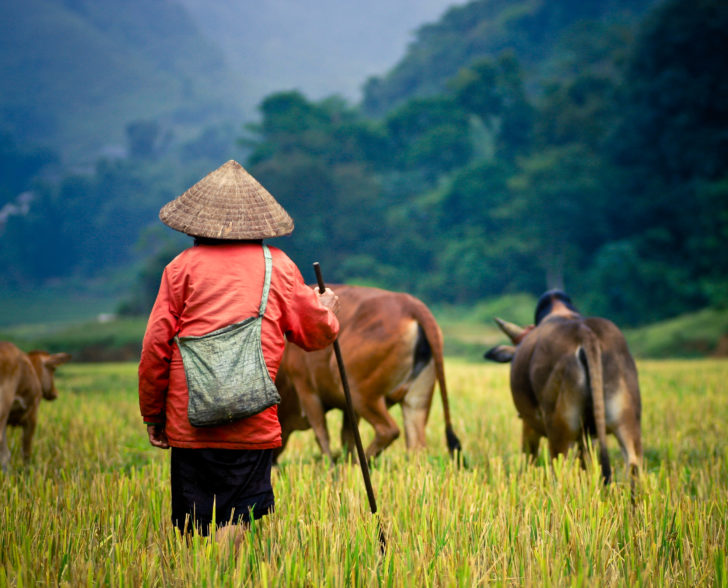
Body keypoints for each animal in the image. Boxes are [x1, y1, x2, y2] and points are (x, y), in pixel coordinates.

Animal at [272, 286, 460, 464]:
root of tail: (410, 305)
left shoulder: (306, 388)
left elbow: (322, 434)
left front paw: (332, 467)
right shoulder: (347, 408)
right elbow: (347, 437)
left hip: (361, 391)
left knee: (388, 430)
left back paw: (358, 464)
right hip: (417, 401)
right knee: (416, 447)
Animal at [486, 290, 640, 486]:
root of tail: (585, 333)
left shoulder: (529, 425)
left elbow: (529, 461)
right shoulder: (586, 437)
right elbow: (584, 465)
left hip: (559, 427)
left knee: (559, 471)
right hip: (626, 420)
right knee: (633, 464)